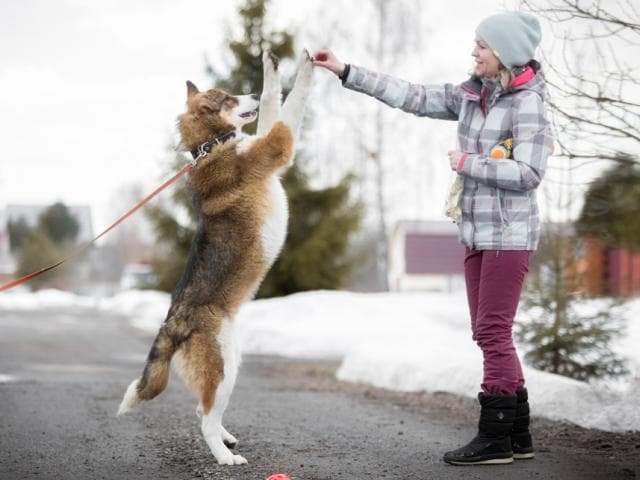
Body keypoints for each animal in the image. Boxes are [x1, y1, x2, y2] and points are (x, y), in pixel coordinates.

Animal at [117, 49, 316, 464]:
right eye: (227, 98)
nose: (249, 95)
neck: (213, 145)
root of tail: (172, 323)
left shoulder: (267, 135)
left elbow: (273, 104)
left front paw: (270, 66)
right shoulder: (278, 144)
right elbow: (290, 103)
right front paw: (305, 67)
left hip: (230, 362)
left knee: (203, 409)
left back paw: (225, 438)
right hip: (223, 366)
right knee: (204, 418)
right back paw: (224, 457)